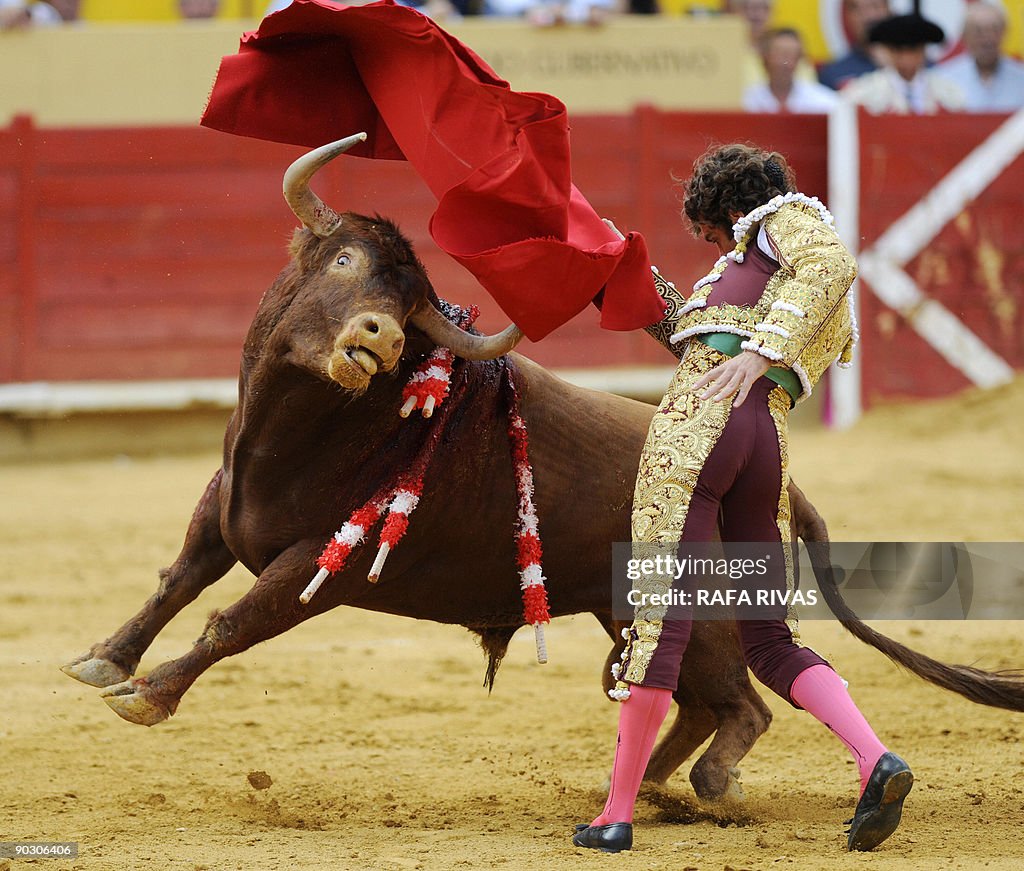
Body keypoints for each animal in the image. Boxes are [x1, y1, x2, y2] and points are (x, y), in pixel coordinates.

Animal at [61, 133, 1024, 806]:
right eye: (343, 261)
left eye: (409, 307)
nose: (376, 337)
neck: (296, 435)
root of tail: (791, 485)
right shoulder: (224, 502)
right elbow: (179, 576)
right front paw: (103, 660)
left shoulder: (323, 563)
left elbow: (232, 618)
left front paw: (147, 695)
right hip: (623, 605)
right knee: (694, 699)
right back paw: (654, 786)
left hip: (699, 605)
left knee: (742, 703)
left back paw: (702, 789)